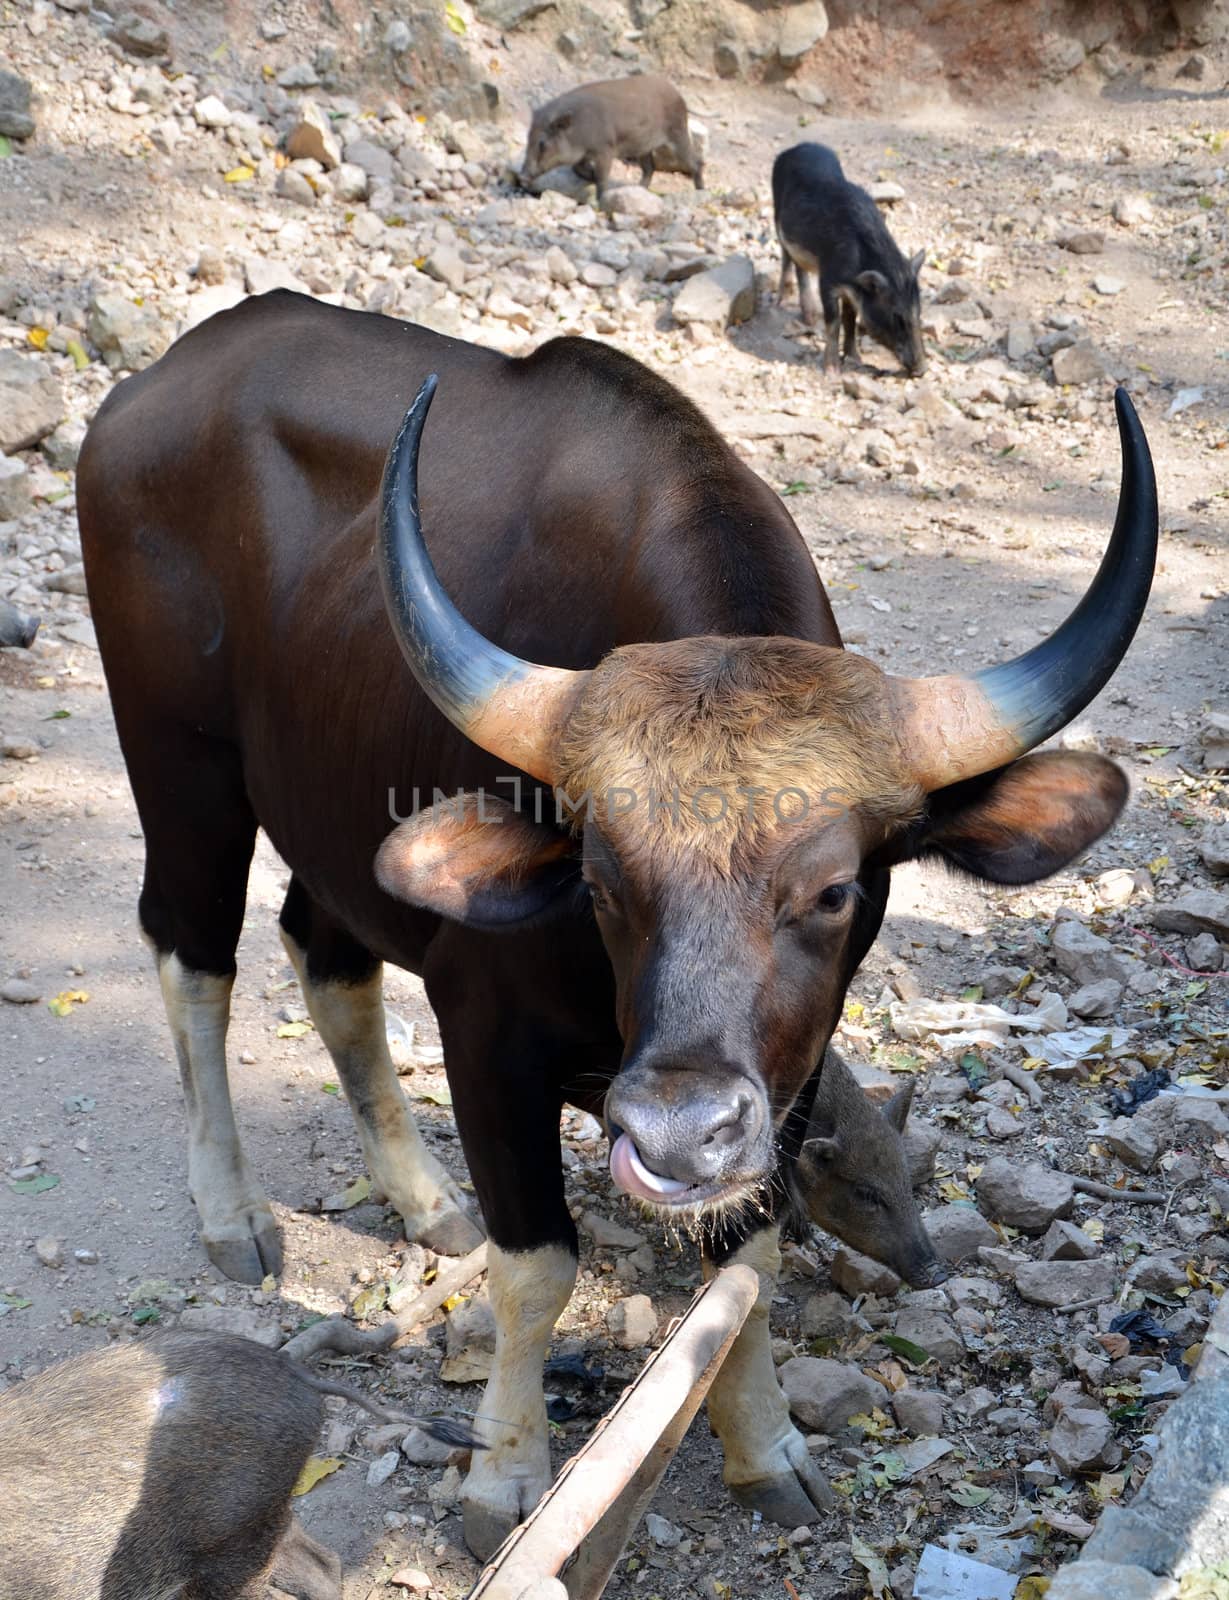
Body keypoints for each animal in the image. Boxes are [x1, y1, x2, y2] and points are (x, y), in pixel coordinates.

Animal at [76, 294, 1152, 1555]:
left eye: (834, 889)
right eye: (598, 878)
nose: (677, 1133)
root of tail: (153, 387)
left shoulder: (783, 1082)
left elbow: (746, 1263)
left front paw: (766, 1447)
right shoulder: (485, 1038)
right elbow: (538, 1263)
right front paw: (504, 1475)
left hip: (328, 819)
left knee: (324, 952)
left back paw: (423, 1200)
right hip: (182, 767)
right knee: (192, 952)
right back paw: (233, 1212)